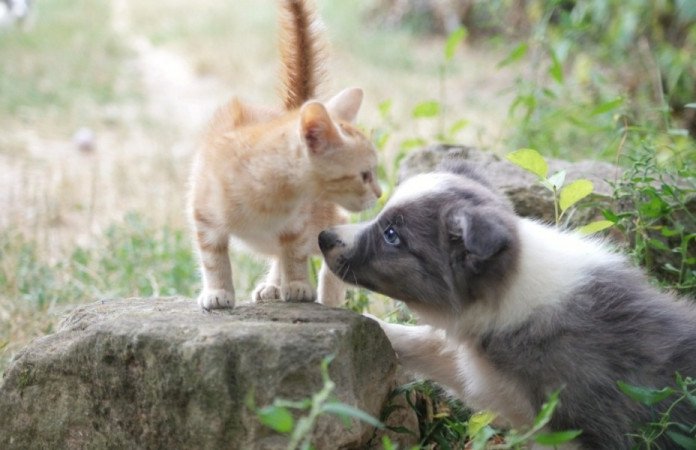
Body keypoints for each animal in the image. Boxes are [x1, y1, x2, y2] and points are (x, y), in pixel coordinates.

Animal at [188, 0, 380, 310]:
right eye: (364, 175)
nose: (380, 193)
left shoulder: (300, 225)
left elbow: (296, 253)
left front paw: (300, 285)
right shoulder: (203, 214)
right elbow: (213, 257)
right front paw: (218, 291)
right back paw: (272, 286)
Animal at [320, 160, 696, 448]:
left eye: (392, 236)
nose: (324, 237)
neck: (515, 287)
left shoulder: (580, 431)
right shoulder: (485, 376)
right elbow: (416, 340)